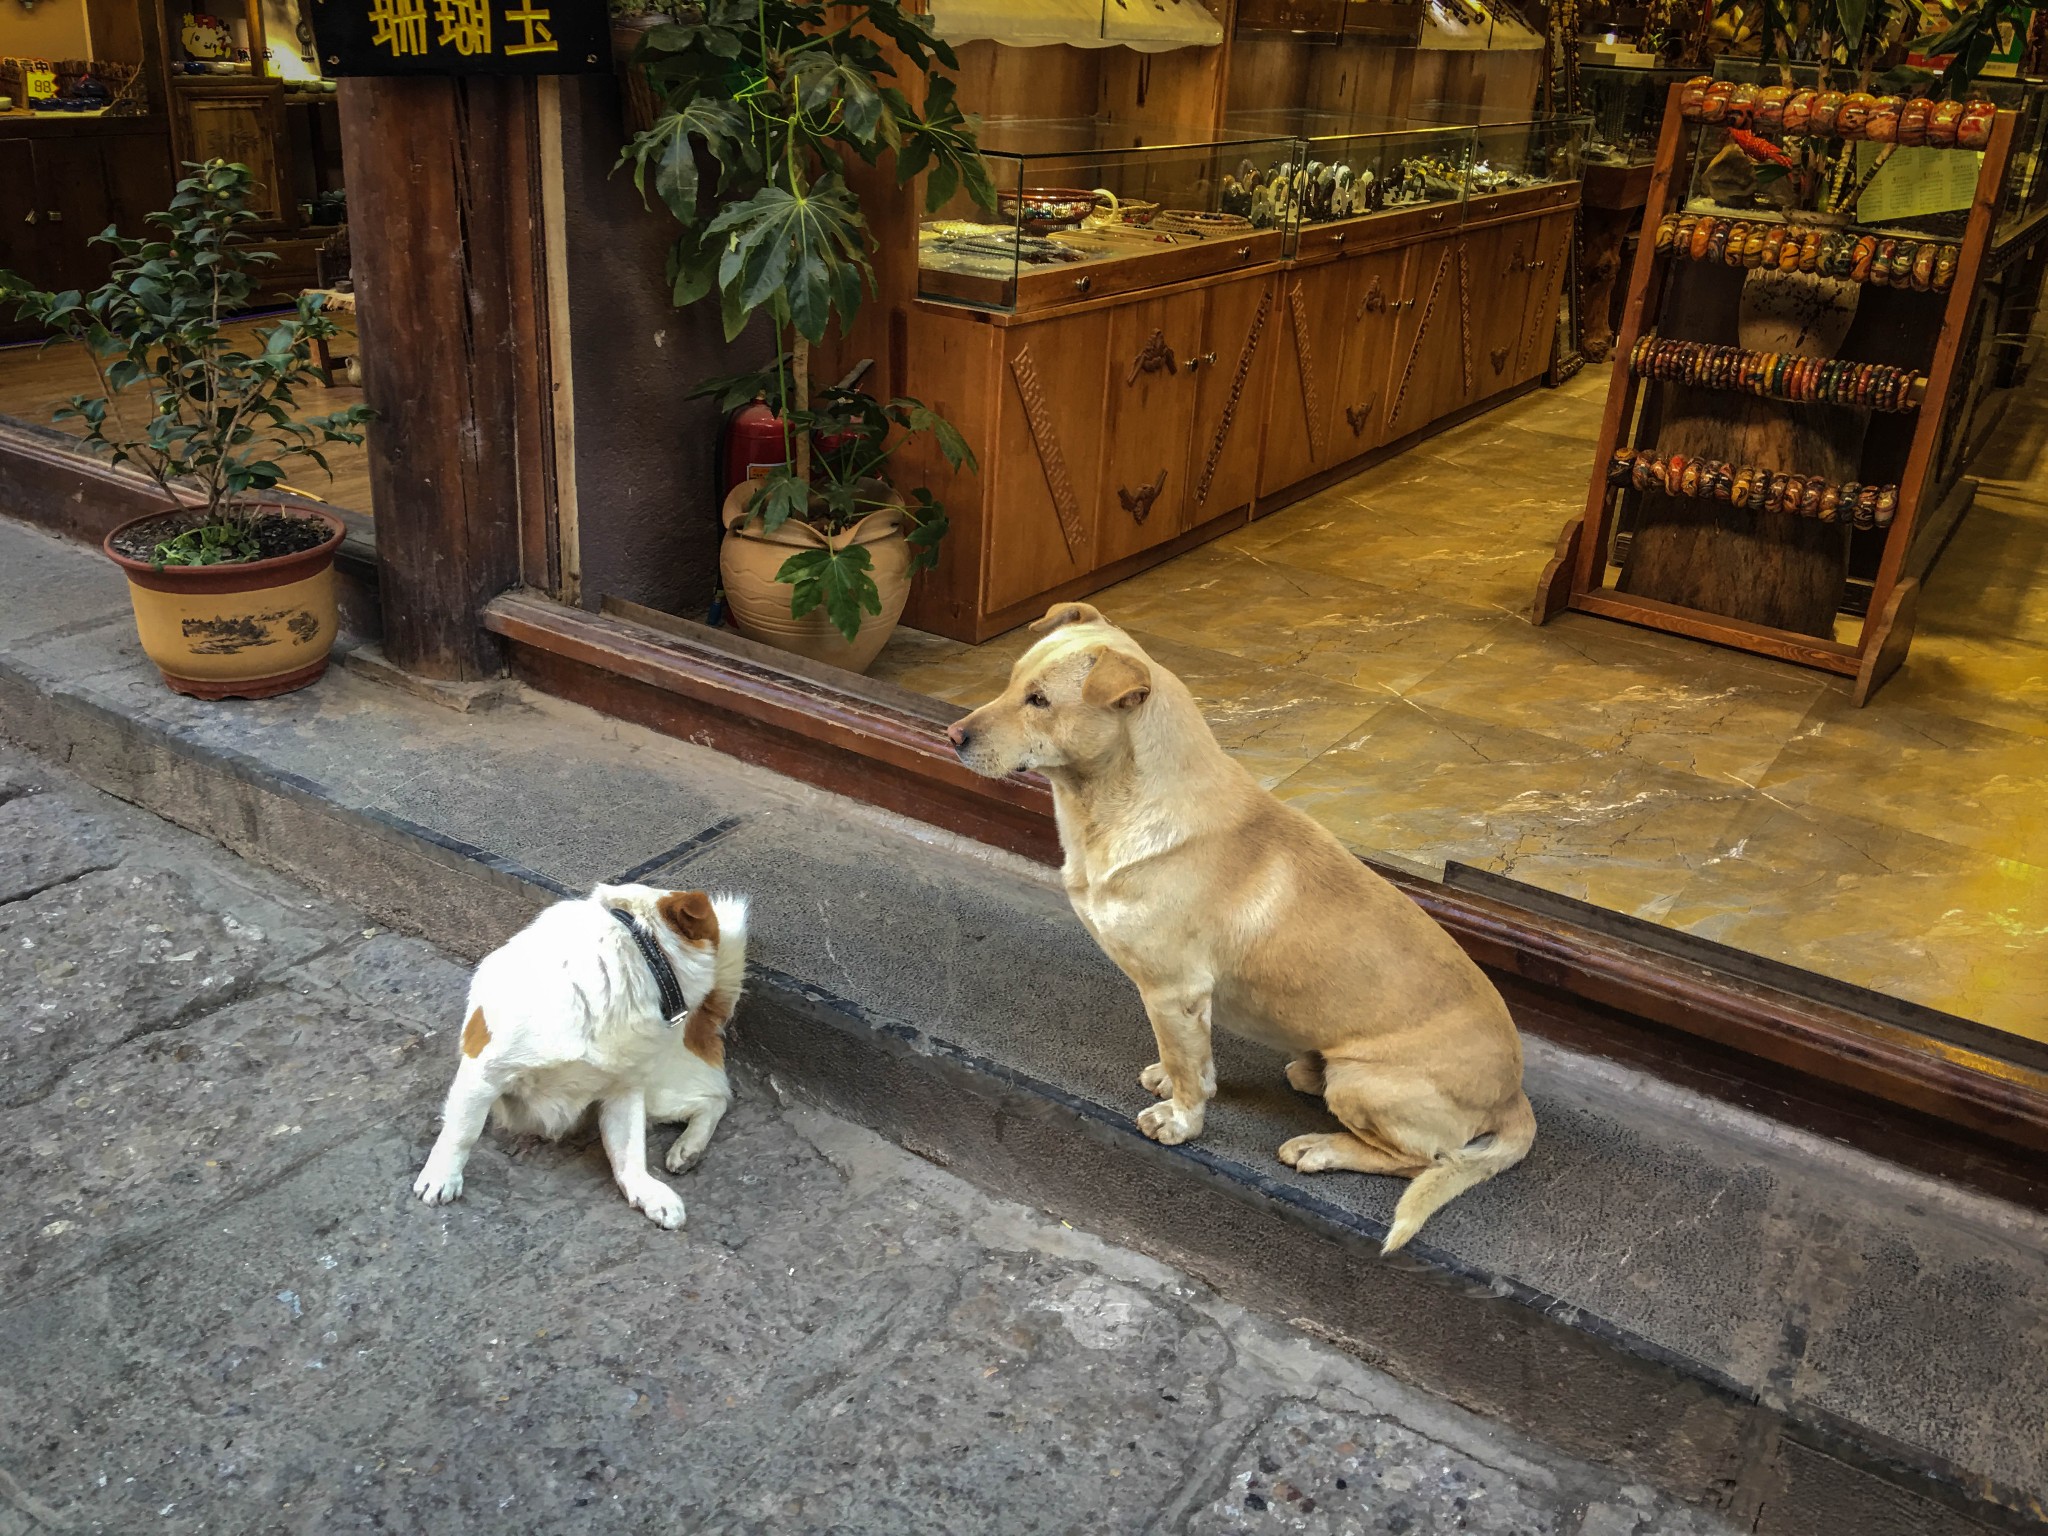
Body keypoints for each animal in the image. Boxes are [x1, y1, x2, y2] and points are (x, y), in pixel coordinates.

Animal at [411, 884, 749, 1236]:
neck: (637, 952)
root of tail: (701, 1022)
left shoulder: (625, 1091)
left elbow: (630, 1153)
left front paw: (645, 1190)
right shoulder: (483, 1073)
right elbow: (462, 1132)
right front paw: (442, 1176)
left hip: (660, 1092)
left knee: (715, 1100)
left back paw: (688, 1146)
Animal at [946, 598, 1540, 1253]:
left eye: (1040, 701)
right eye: (1010, 683)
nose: (952, 735)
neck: (1119, 802)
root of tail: (1514, 1098)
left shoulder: (1173, 991)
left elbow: (1187, 1070)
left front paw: (1180, 1122)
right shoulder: (1183, 1005)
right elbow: (1191, 1061)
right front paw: (1173, 1082)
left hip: (1364, 1082)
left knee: (1423, 1160)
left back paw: (1321, 1149)